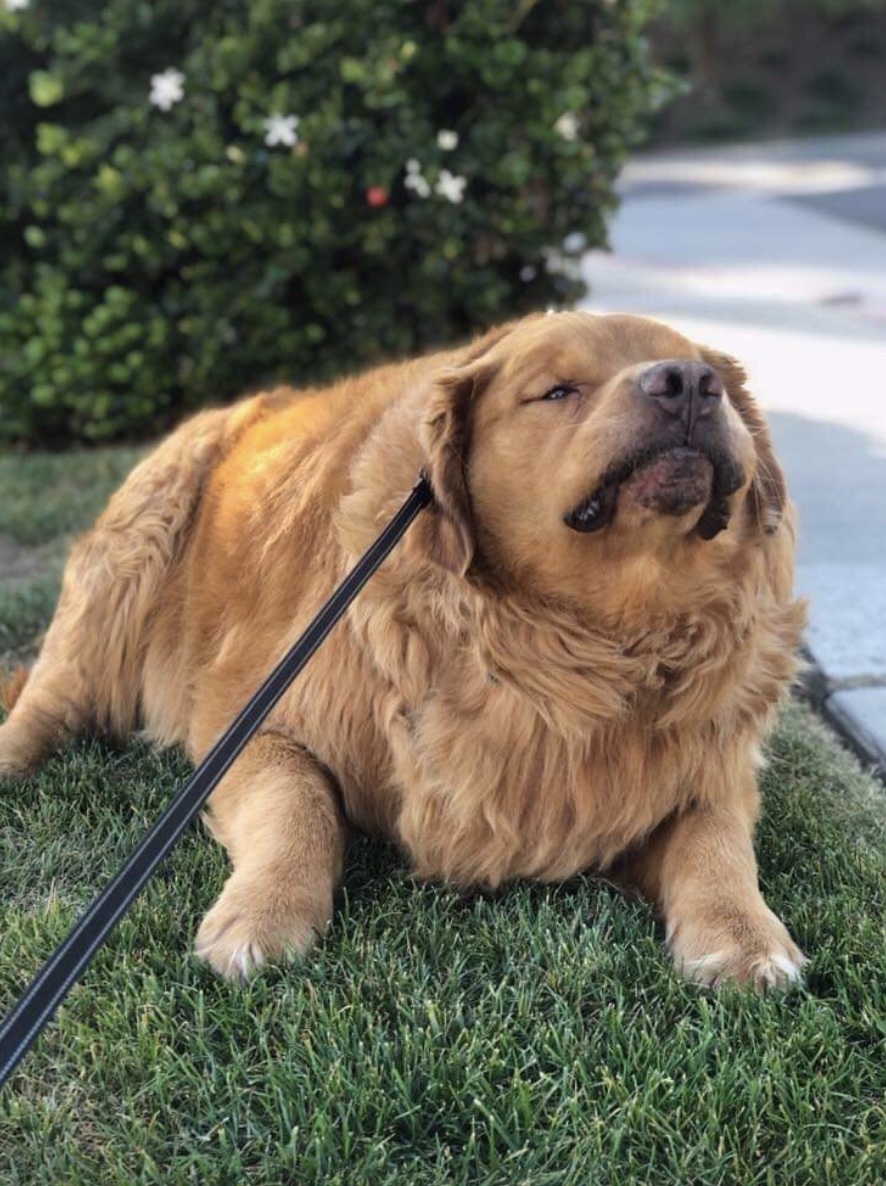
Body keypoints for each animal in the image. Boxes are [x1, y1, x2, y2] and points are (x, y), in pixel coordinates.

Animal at [0, 311, 808, 989]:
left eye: (700, 370)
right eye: (556, 390)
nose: (689, 382)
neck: (587, 641)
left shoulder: (706, 770)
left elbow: (717, 840)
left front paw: (744, 937)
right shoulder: (251, 723)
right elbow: (302, 806)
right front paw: (263, 913)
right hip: (132, 556)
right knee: (51, 697)